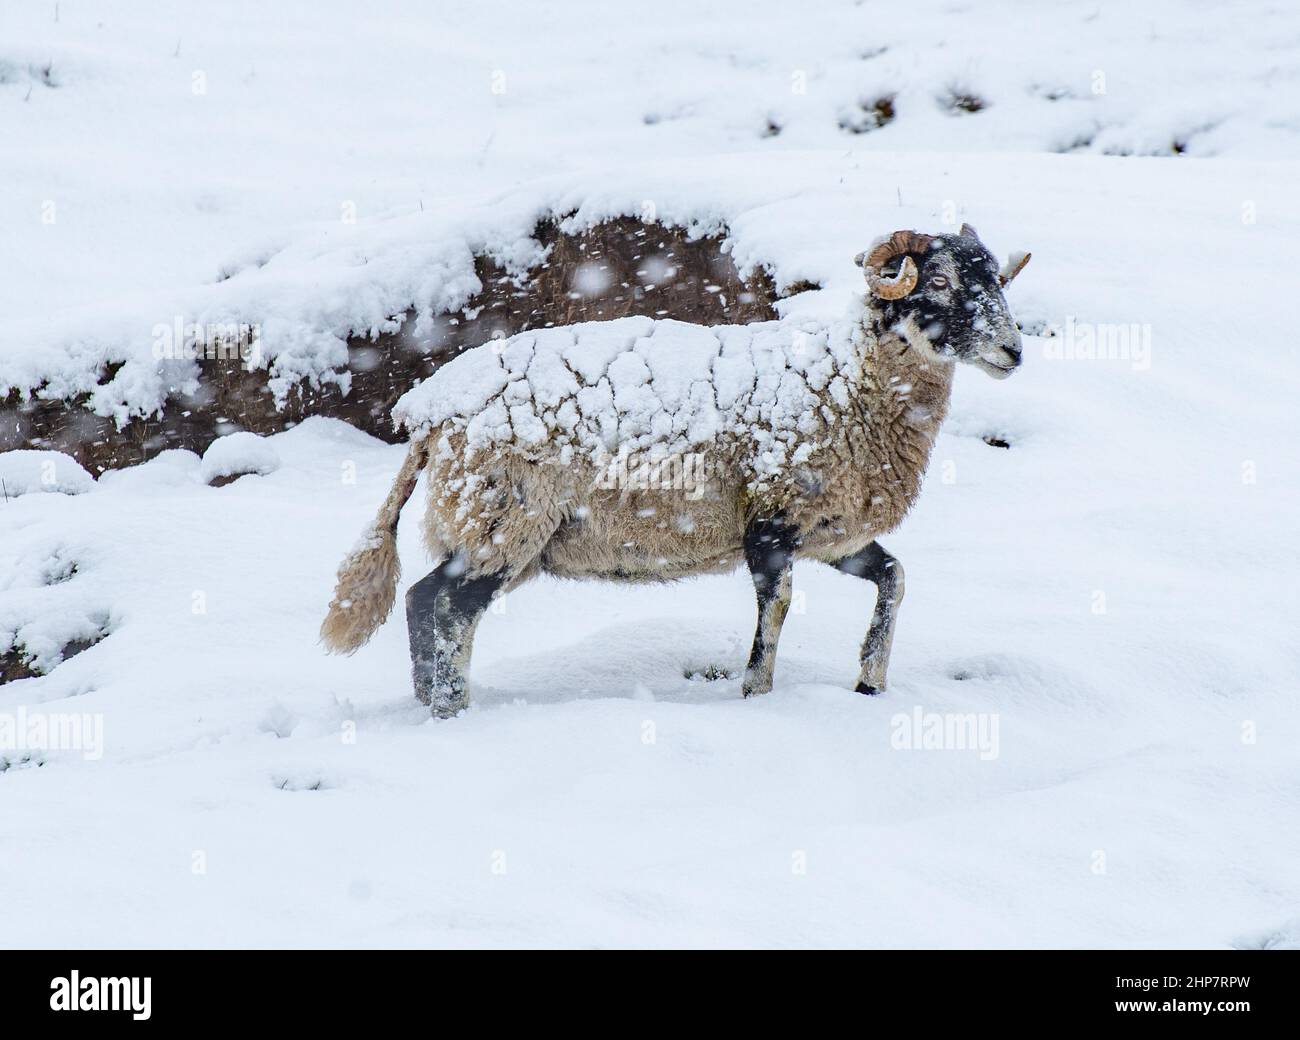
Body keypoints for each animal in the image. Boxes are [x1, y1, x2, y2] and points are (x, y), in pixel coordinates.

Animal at [319, 224, 1029, 717]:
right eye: (939, 281)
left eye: (996, 278)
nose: (1014, 351)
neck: (849, 381)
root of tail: (428, 412)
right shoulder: (769, 526)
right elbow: (776, 614)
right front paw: (756, 697)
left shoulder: (831, 535)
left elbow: (895, 578)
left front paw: (869, 683)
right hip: (504, 517)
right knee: (445, 608)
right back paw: (452, 711)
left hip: (500, 533)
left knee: (426, 601)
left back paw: (435, 705)